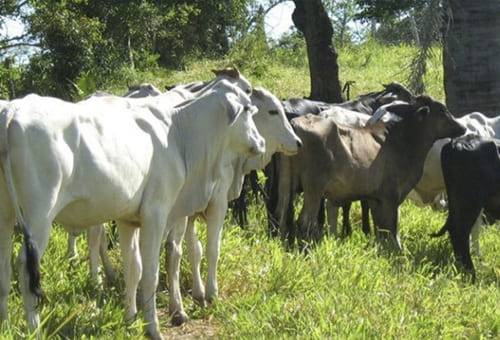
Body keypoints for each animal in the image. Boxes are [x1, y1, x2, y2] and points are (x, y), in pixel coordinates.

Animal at [0, 80, 266, 340]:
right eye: (248, 110)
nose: (261, 142)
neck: (179, 135)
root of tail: (13, 109)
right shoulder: (156, 215)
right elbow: (151, 273)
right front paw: (153, 328)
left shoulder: (128, 220)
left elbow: (133, 268)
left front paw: (130, 319)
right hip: (39, 217)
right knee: (25, 268)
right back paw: (34, 330)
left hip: (6, 215)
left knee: (5, 269)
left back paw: (4, 325)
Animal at [184, 87, 300, 302]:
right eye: (273, 111)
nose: (298, 142)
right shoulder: (216, 205)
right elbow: (211, 248)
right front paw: (211, 292)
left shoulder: (188, 212)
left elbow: (194, 250)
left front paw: (198, 291)